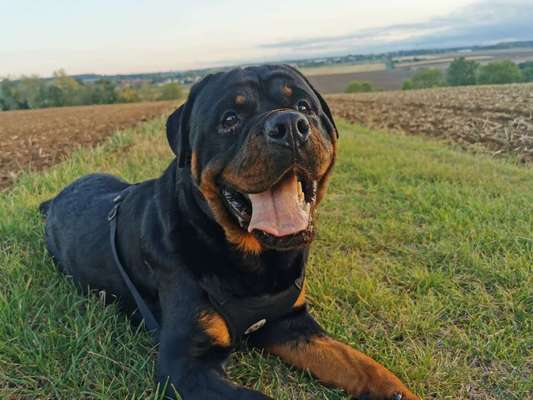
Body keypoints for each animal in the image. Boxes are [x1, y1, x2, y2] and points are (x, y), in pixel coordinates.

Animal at [39, 64, 418, 398]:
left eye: (303, 106)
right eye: (230, 119)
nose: (289, 125)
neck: (253, 259)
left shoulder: (291, 323)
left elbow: (365, 367)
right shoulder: (186, 364)